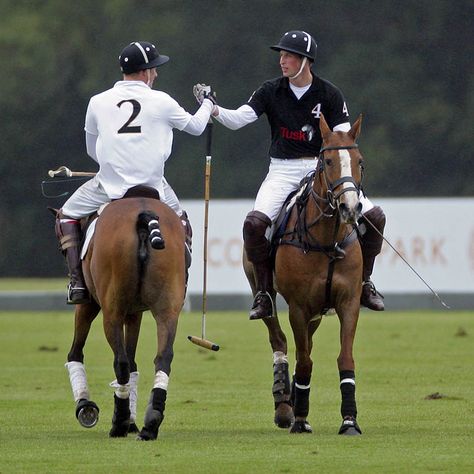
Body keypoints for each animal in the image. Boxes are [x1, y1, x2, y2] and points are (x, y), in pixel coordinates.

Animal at [64, 188, 185, 440]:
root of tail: (144, 214)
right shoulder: (135, 312)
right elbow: (133, 360)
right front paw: (132, 420)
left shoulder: (91, 303)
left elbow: (76, 352)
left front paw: (85, 406)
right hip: (167, 307)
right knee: (163, 357)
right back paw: (151, 422)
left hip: (111, 310)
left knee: (119, 362)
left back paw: (118, 423)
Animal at [244, 113, 362, 436]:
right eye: (328, 161)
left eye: (359, 161)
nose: (350, 208)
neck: (327, 239)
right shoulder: (298, 306)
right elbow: (305, 360)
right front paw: (299, 419)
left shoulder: (348, 302)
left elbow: (344, 357)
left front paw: (350, 420)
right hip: (264, 288)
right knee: (281, 341)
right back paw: (285, 405)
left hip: (318, 311)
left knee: (303, 345)